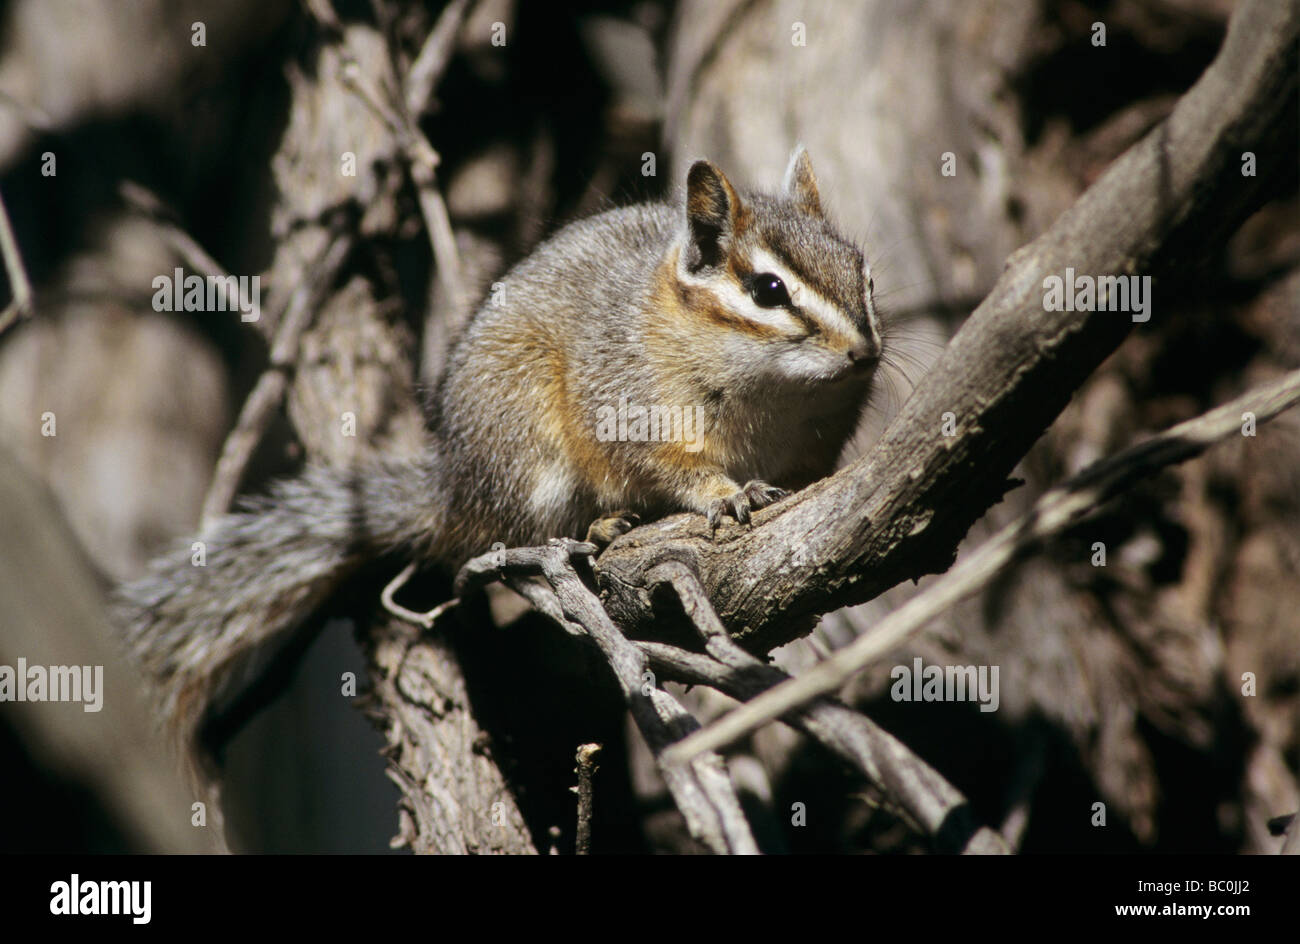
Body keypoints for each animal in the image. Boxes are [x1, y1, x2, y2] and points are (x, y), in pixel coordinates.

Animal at [113, 147, 883, 781]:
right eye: (767, 290)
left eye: (865, 273)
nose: (865, 353)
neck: (771, 399)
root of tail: (454, 486)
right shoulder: (627, 403)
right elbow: (669, 466)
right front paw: (724, 494)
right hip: (528, 443)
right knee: (516, 537)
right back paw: (599, 530)